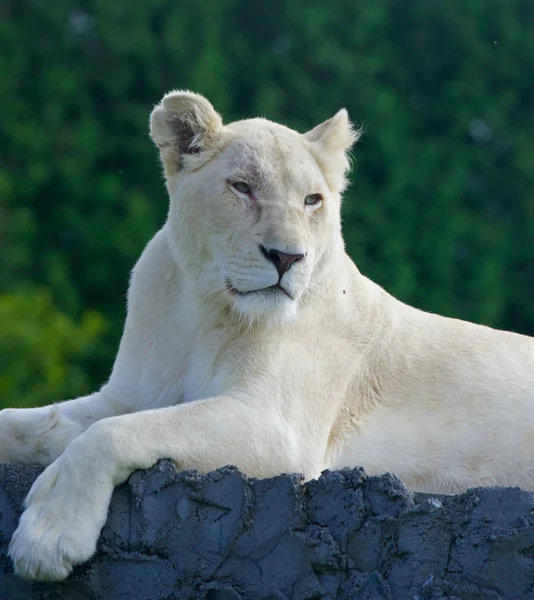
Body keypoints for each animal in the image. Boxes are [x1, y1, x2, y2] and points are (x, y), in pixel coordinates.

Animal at [1, 90, 534, 580]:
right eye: (242, 187)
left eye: (312, 200)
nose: (287, 257)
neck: (203, 309)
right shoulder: (128, 395)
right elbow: (35, 423)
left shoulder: (278, 427)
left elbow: (111, 434)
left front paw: (48, 537)